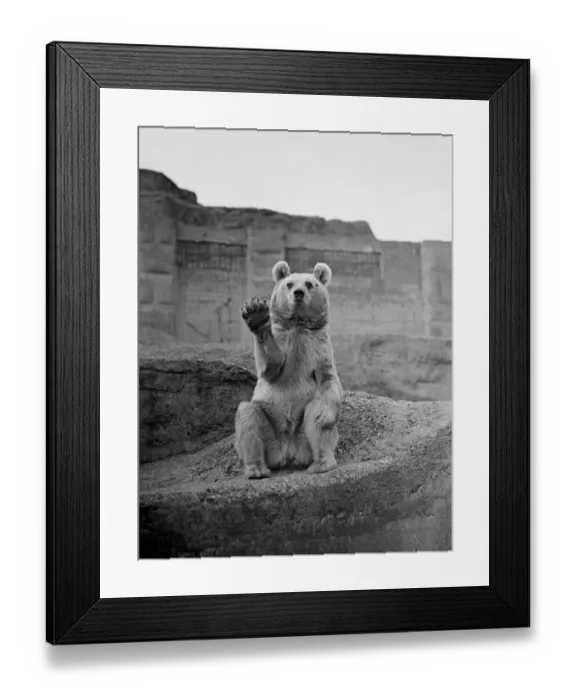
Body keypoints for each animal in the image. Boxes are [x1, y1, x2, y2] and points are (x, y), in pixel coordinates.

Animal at [234, 260, 344, 480]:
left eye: (310, 284)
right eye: (289, 283)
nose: (298, 293)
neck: (298, 325)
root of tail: (287, 454)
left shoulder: (319, 347)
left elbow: (328, 379)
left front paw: (324, 415)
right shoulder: (284, 340)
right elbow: (271, 366)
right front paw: (256, 314)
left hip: (301, 434)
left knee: (315, 418)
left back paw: (322, 464)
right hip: (270, 425)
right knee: (248, 416)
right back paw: (256, 469)